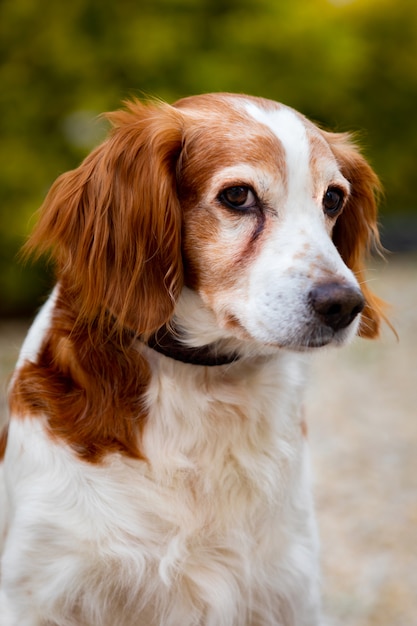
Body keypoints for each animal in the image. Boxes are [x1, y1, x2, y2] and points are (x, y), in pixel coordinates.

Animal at [0, 92, 384, 624]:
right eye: (238, 196)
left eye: (332, 199)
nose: (344, 305)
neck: (204, 388)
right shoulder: (35, 592)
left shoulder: (286, 590)